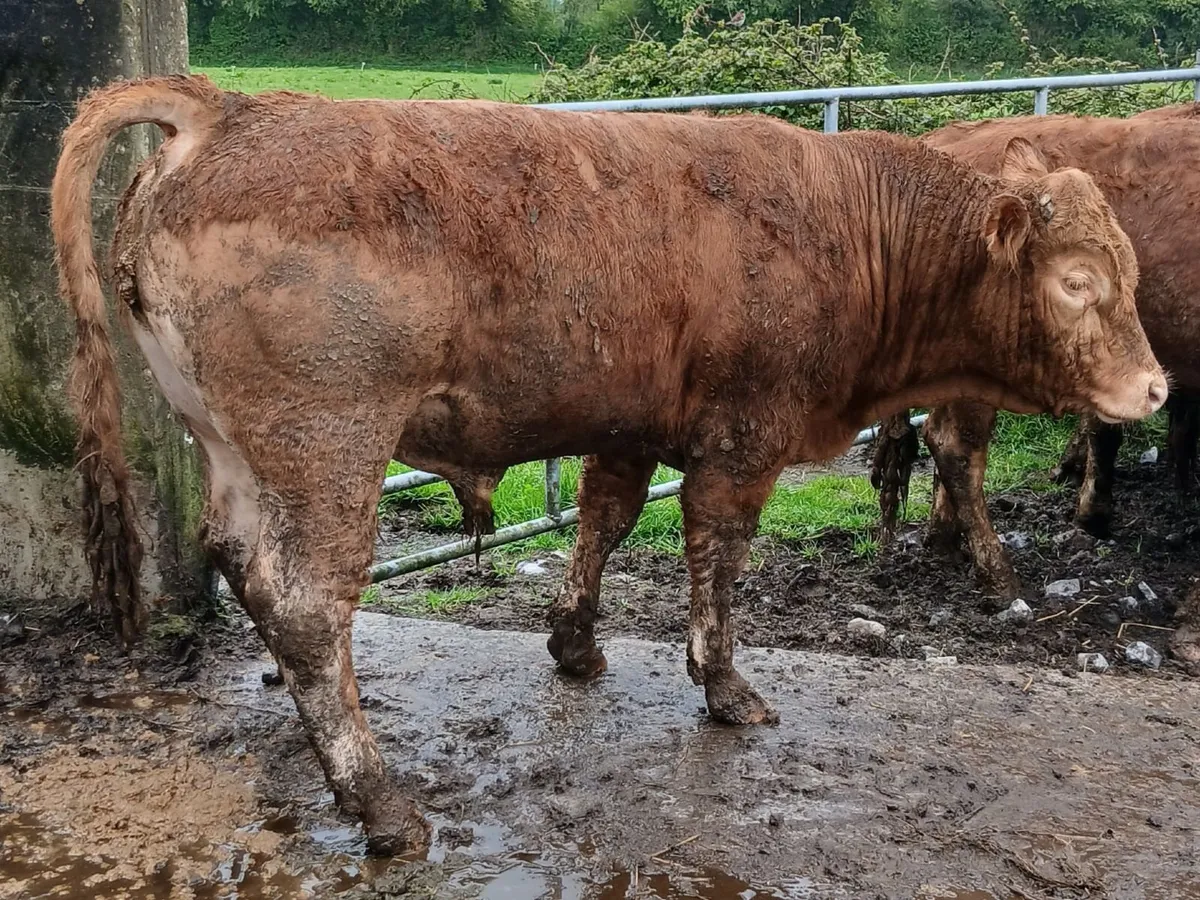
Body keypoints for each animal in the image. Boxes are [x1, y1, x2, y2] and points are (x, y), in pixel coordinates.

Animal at [52, 74, 1165, 853]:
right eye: (1077, 280)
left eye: (1128, 267)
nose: (1155, 389)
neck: (846, 227)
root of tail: (226, 112)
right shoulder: (742, 442)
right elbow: (717, 558)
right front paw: (725, 687)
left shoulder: (628, 428)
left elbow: (604, 519)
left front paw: (576, 644)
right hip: (329, 451)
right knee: (307, 602)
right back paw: (378, 801)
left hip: (234, 451)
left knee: (241, 564)